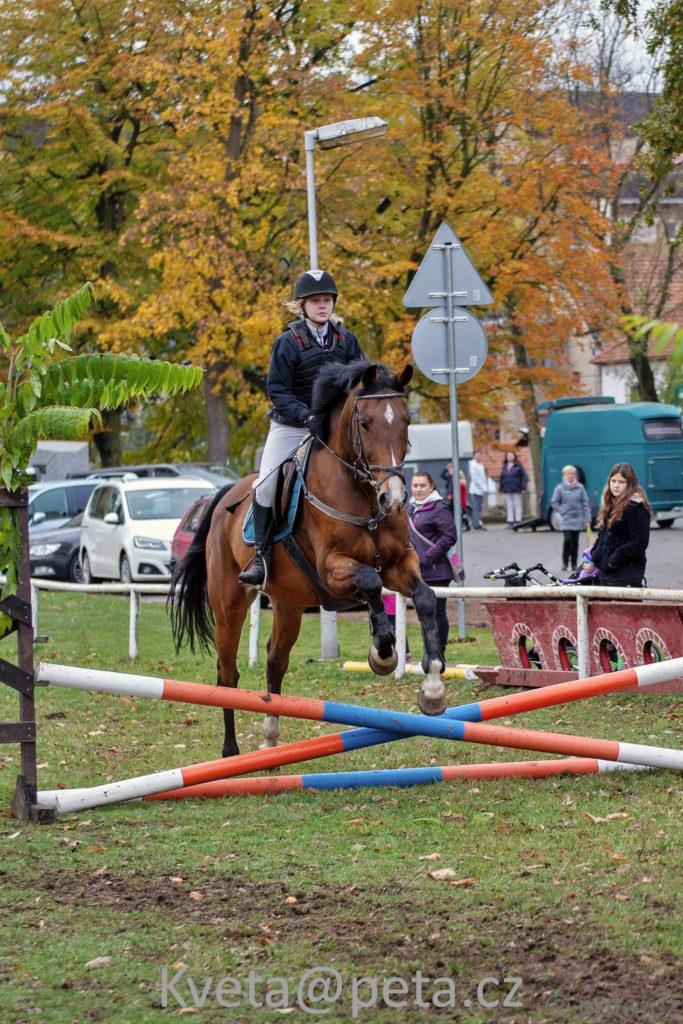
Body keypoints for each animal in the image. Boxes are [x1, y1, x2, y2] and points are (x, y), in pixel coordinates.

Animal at [169, 360, 447, 758]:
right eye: (365, 423)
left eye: (407, 420)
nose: (392, 498)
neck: (364, 497)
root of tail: (224, 496)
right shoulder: (332, 569)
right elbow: (370, 580)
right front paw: (382, 653)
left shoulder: (399, 564)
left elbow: (424, 597)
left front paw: (433, 689)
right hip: (228, 603)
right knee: (227, 673)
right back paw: (230, 751)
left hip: (288, 602)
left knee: (274, 661)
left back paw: (270, 740)